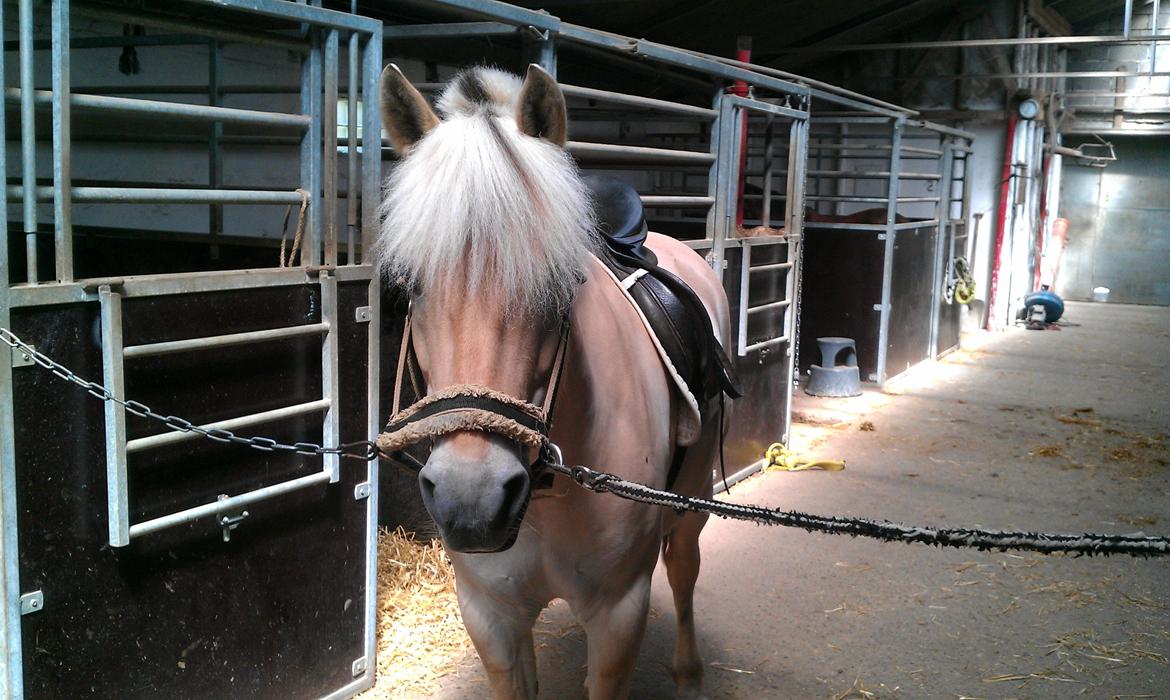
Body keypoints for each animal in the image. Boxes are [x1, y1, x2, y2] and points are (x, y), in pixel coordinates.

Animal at [374, 65, 730, 700]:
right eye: (411, 284)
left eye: (559, 282)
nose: (473, 500)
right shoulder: (491, 616)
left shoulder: (618, 615)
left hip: (692, 497)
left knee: (684, 564)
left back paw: (689, 672)